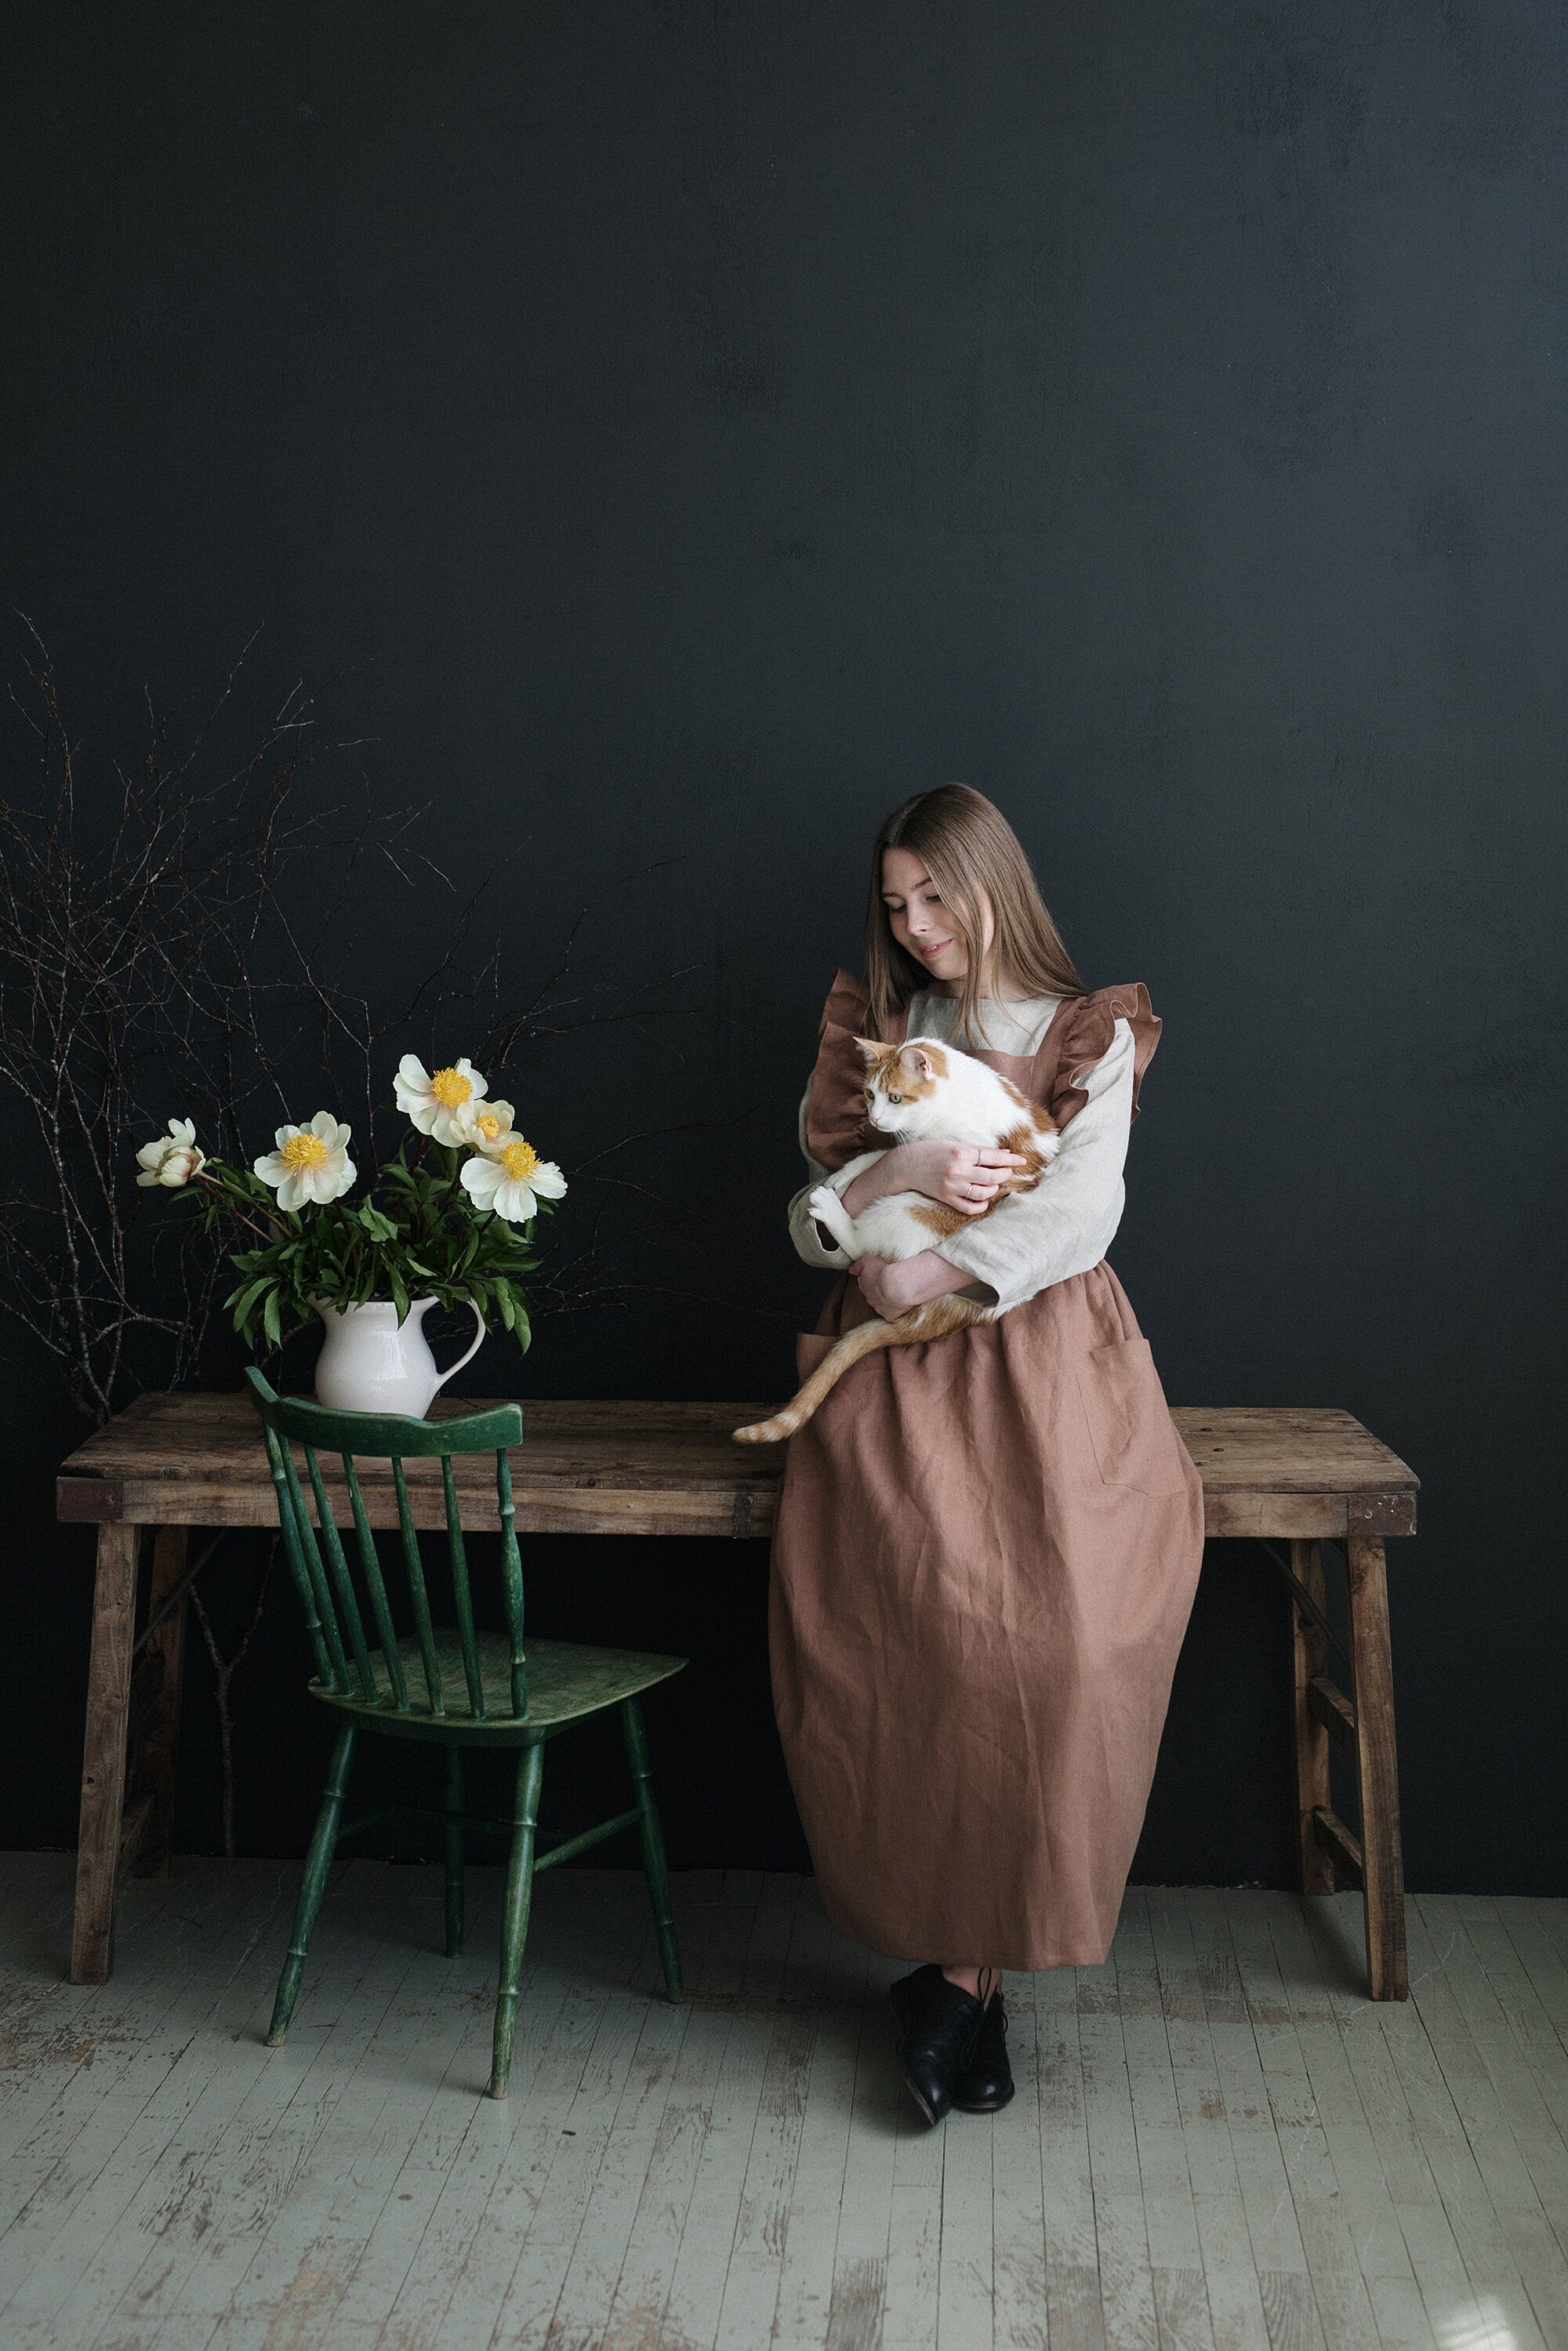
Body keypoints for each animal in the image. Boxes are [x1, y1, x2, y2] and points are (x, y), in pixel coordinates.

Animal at [738, 1039, 1067, 1439]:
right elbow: (886, 1154)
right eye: (869, 1094)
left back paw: (831, 1210)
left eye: (895, 1097)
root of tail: (968, 1313)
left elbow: (895, 1151)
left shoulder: (975, 1154)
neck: (953, 1099)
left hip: (909, 1211)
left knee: (861, 1243)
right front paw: (849, 1171)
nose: (876, 1118)